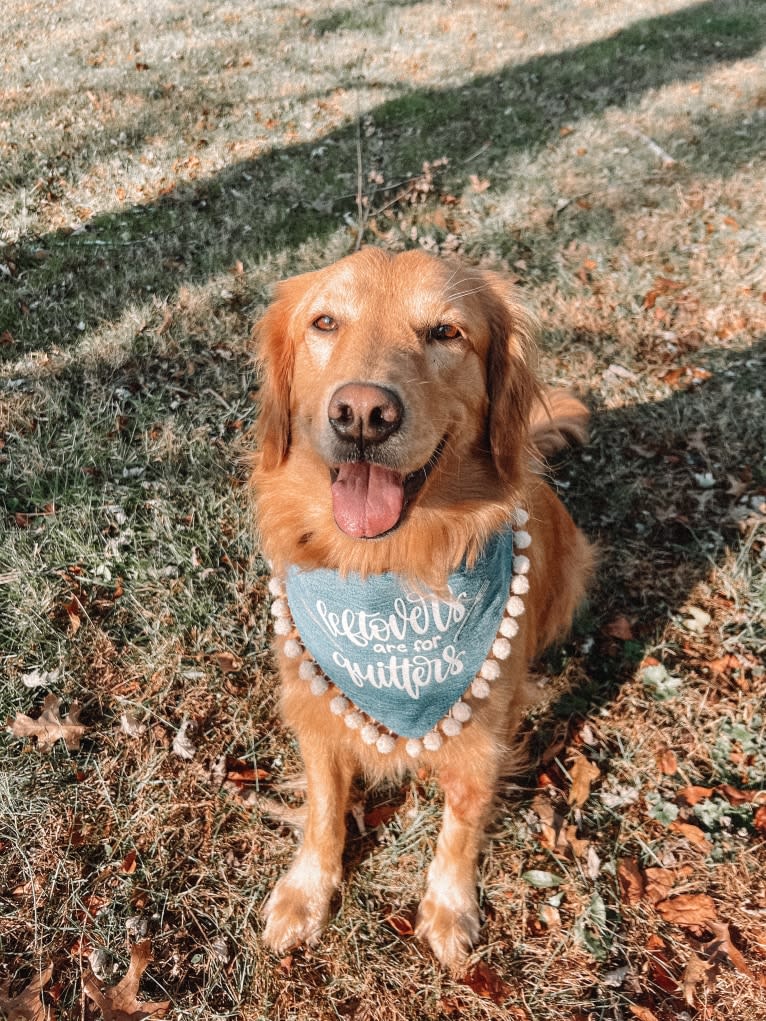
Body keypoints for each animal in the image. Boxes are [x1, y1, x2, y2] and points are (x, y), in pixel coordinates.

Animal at [252, 247, 592, 971]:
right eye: (325, 322)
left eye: (445, 332)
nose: (362, 413)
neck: (386, 569)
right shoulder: (311, 704)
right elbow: (324, 806)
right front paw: (306, 891)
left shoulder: (483, 733)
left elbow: (461, 825)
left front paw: (448, 906)